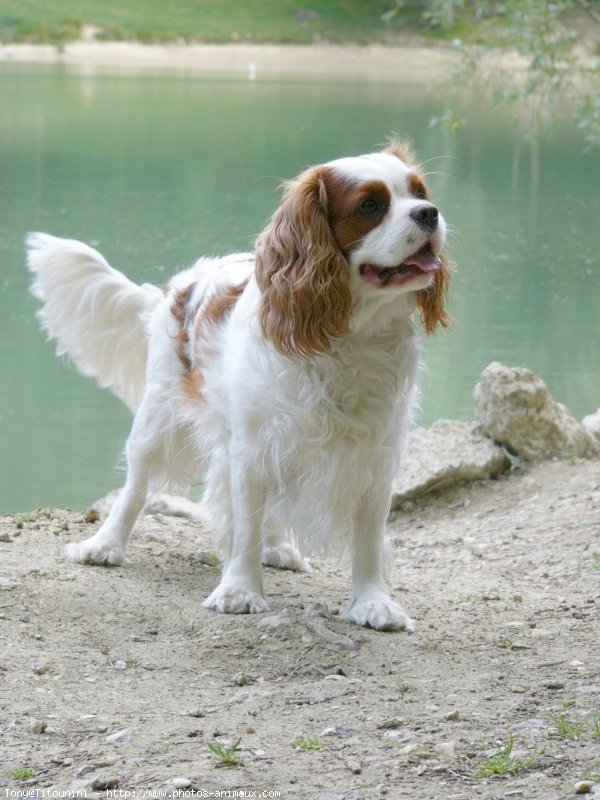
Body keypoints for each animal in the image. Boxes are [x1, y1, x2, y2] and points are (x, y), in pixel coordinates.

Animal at [27, 142, 450, 632]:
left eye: (420, 193)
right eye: (370, 206)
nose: (430, 214)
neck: (349, 335)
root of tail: (178, 286)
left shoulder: (374, 456)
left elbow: (367, 539)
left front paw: (372, 603)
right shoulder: (251, 449)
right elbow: (244, 521)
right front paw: (240, 591)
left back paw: (277, 546)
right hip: (158, 418)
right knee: (136, 487)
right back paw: (105, 545)